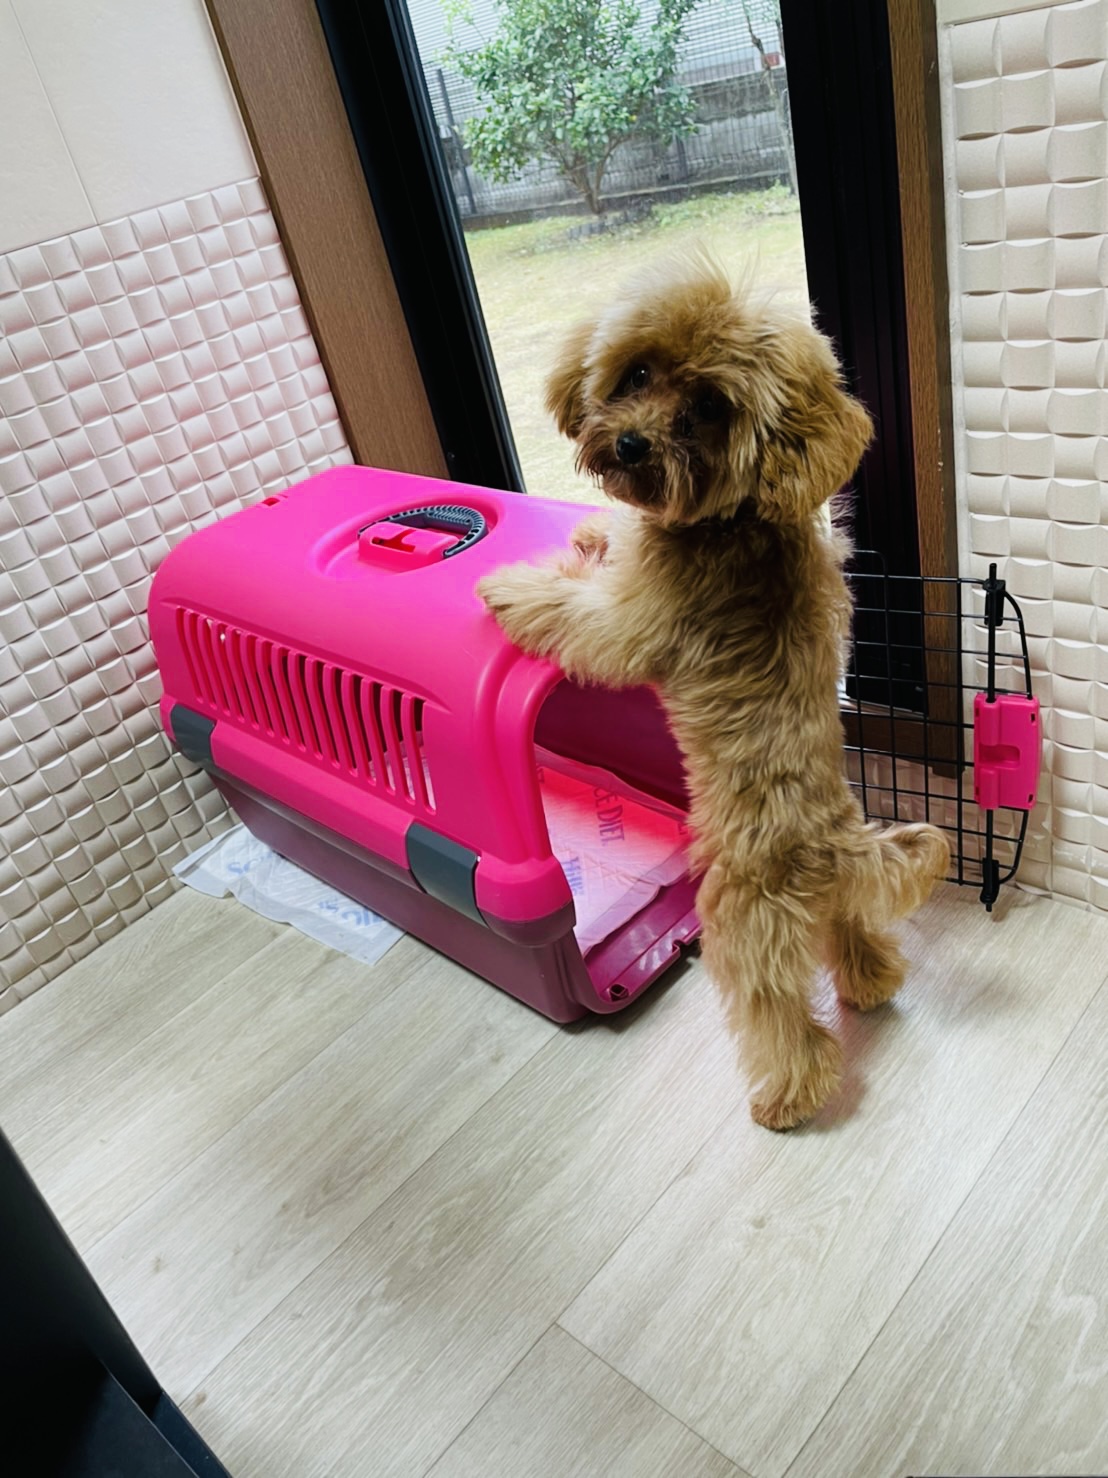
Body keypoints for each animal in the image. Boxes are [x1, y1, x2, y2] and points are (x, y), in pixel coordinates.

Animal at [477, 256, 949, 1129]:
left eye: (707, 408)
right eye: (637, 373)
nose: (630, 442)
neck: (735, 516)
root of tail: (831, 850)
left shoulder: (632, 622)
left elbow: (574, 613)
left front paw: (512, 588)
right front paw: (592, 530)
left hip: (739, 925)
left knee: (781, 1017)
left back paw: (786, 1098)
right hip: (835, 906)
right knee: (856, 938)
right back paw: (872, 984)